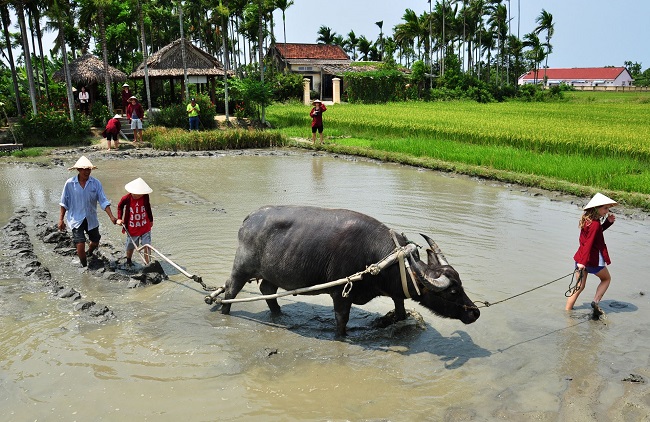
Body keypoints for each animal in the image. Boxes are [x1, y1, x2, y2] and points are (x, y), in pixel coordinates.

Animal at [220, 205, 478, 336]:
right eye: (452, 292)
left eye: (461, 285)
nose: (475, 312)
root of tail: (250, 218)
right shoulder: (341, 295)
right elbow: (341, 322)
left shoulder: (396, 293)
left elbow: (401, 311)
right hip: (241, 267)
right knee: (230, 291)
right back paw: (224, 312)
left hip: (272, 272)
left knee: (267, 289)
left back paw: (279, 314)